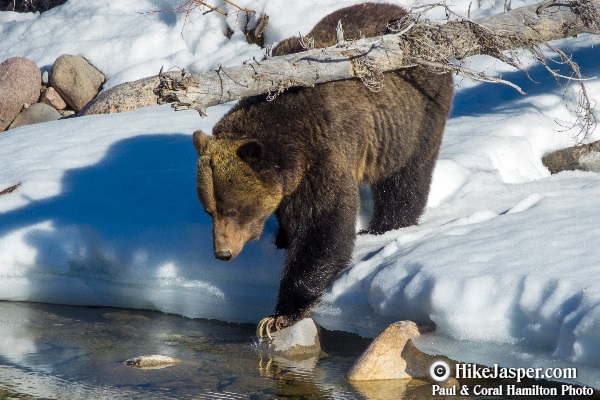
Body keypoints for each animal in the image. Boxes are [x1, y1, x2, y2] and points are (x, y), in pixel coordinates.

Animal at [195, 2, 452, 338]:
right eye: (209, 209)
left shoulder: (324, 153)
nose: (222, 253)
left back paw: (384, 226)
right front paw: (282, 238)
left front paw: (279, 315)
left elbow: (325, 226)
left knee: (405, 178)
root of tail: (415, 19)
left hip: (412, 118)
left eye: (233, 209)